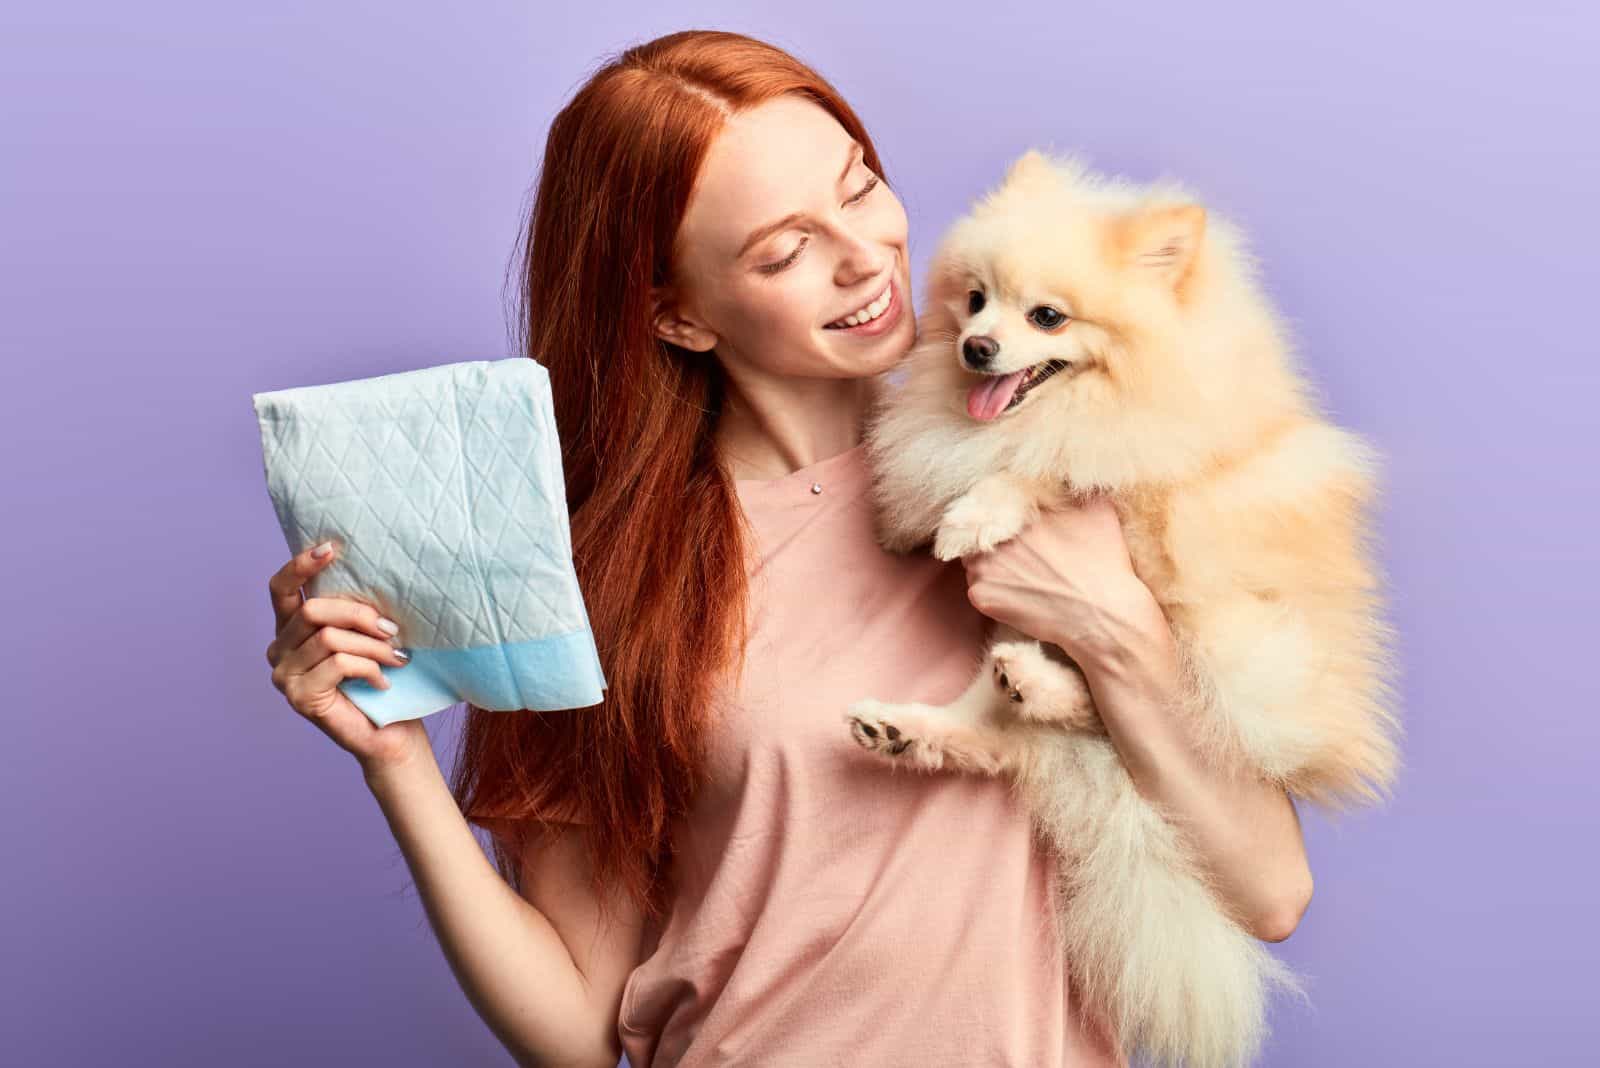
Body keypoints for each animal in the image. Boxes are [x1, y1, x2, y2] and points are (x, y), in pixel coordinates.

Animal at [844, 150, 1408, 1068]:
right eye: (976, 299)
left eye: (1046, 316)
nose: (974, 347)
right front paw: (920, 518)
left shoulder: (1138, 474)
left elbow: (1046, 467)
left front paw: (976, 514)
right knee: (999, 733)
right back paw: (914, 724)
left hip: (1229, 647)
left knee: (1125, 703)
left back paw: (1036, 686)